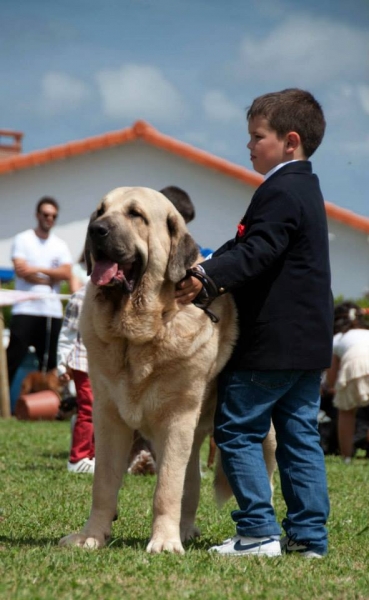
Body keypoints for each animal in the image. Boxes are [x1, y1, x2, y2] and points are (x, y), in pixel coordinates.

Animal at [59, 186, 274, 552]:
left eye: (136, 215)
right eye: (100, 211)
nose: (96, 229)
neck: (136, 334)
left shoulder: (177, 420)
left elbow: (166, 489)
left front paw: (163, 543)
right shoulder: (109, 417)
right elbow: (104, 484)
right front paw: (92, 535)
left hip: (264, 434)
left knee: (269, 479)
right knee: (191, 484)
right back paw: (185, 529)